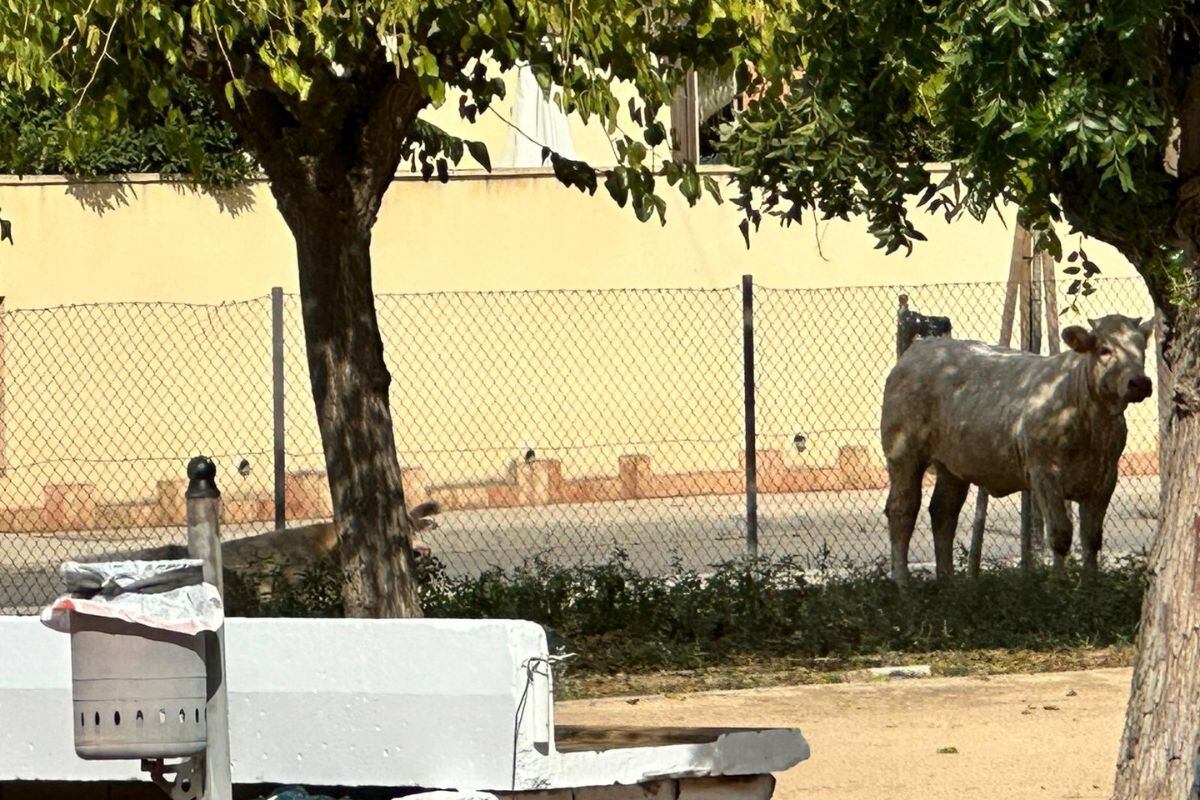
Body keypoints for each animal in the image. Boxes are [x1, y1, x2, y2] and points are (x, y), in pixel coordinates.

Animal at [883, 316, 1152, 585]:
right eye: (1104, 349)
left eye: (1142, 347)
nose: (1140, 382)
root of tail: (918, 350)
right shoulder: (1044, 473)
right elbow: (1060, 535)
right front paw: (1058, 585)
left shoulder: (1105, 478)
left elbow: (1092, 538)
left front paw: (1089, 587)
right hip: (903, 453)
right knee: (902, 510)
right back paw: (903, 583)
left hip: (953, 464)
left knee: (943, 511)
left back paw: (949, 582)